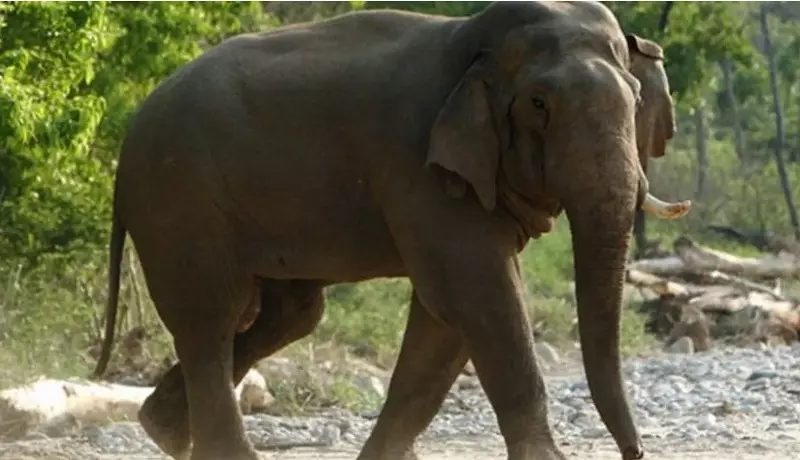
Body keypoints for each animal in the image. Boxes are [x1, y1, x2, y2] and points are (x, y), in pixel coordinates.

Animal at [91, 2, 691, 460]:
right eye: (539, 104)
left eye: (637, 100)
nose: (635, 452)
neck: (471, 37)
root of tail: (126, 137)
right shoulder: (418, 165)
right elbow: (480, 297)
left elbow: (446, 322)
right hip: (180, 201)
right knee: (210, 322)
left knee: (289, 313)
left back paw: (160, 429)